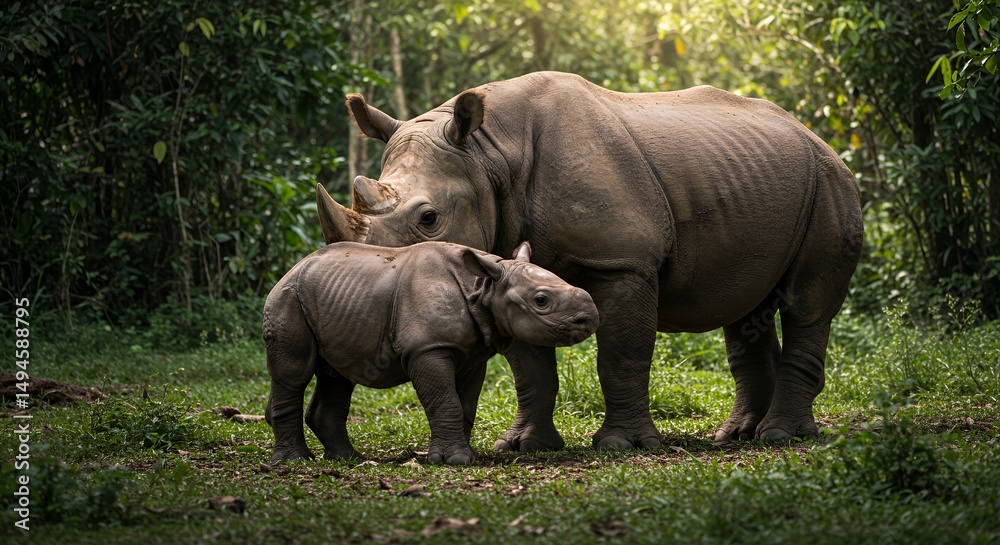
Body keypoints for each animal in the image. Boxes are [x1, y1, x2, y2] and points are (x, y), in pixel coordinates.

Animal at [262, 240, 599, 464]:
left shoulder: (473, 354)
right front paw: (455, 460)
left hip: (333, 300)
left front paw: (466, 455)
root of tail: (291, 270)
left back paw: (348, 459)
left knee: (338, 376)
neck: (484, 286)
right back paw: (295, 461)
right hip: (286, 298)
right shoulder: (428, 348)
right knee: (293, 375)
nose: (591, 317)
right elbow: (444, 400)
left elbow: (465, 405)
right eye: (541, 300)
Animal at [317, 71, 864, 451]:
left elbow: (620, 353)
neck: (488, 154)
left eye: (429, 218)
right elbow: (530, 366)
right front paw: (524, 446)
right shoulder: (508, 271)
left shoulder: (622, 260)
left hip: (830, 182)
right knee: (746, 309)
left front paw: (623, 445)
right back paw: (739, 435)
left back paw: (782, 437)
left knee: (806, 306)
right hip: (759, 176)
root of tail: (814, 134)